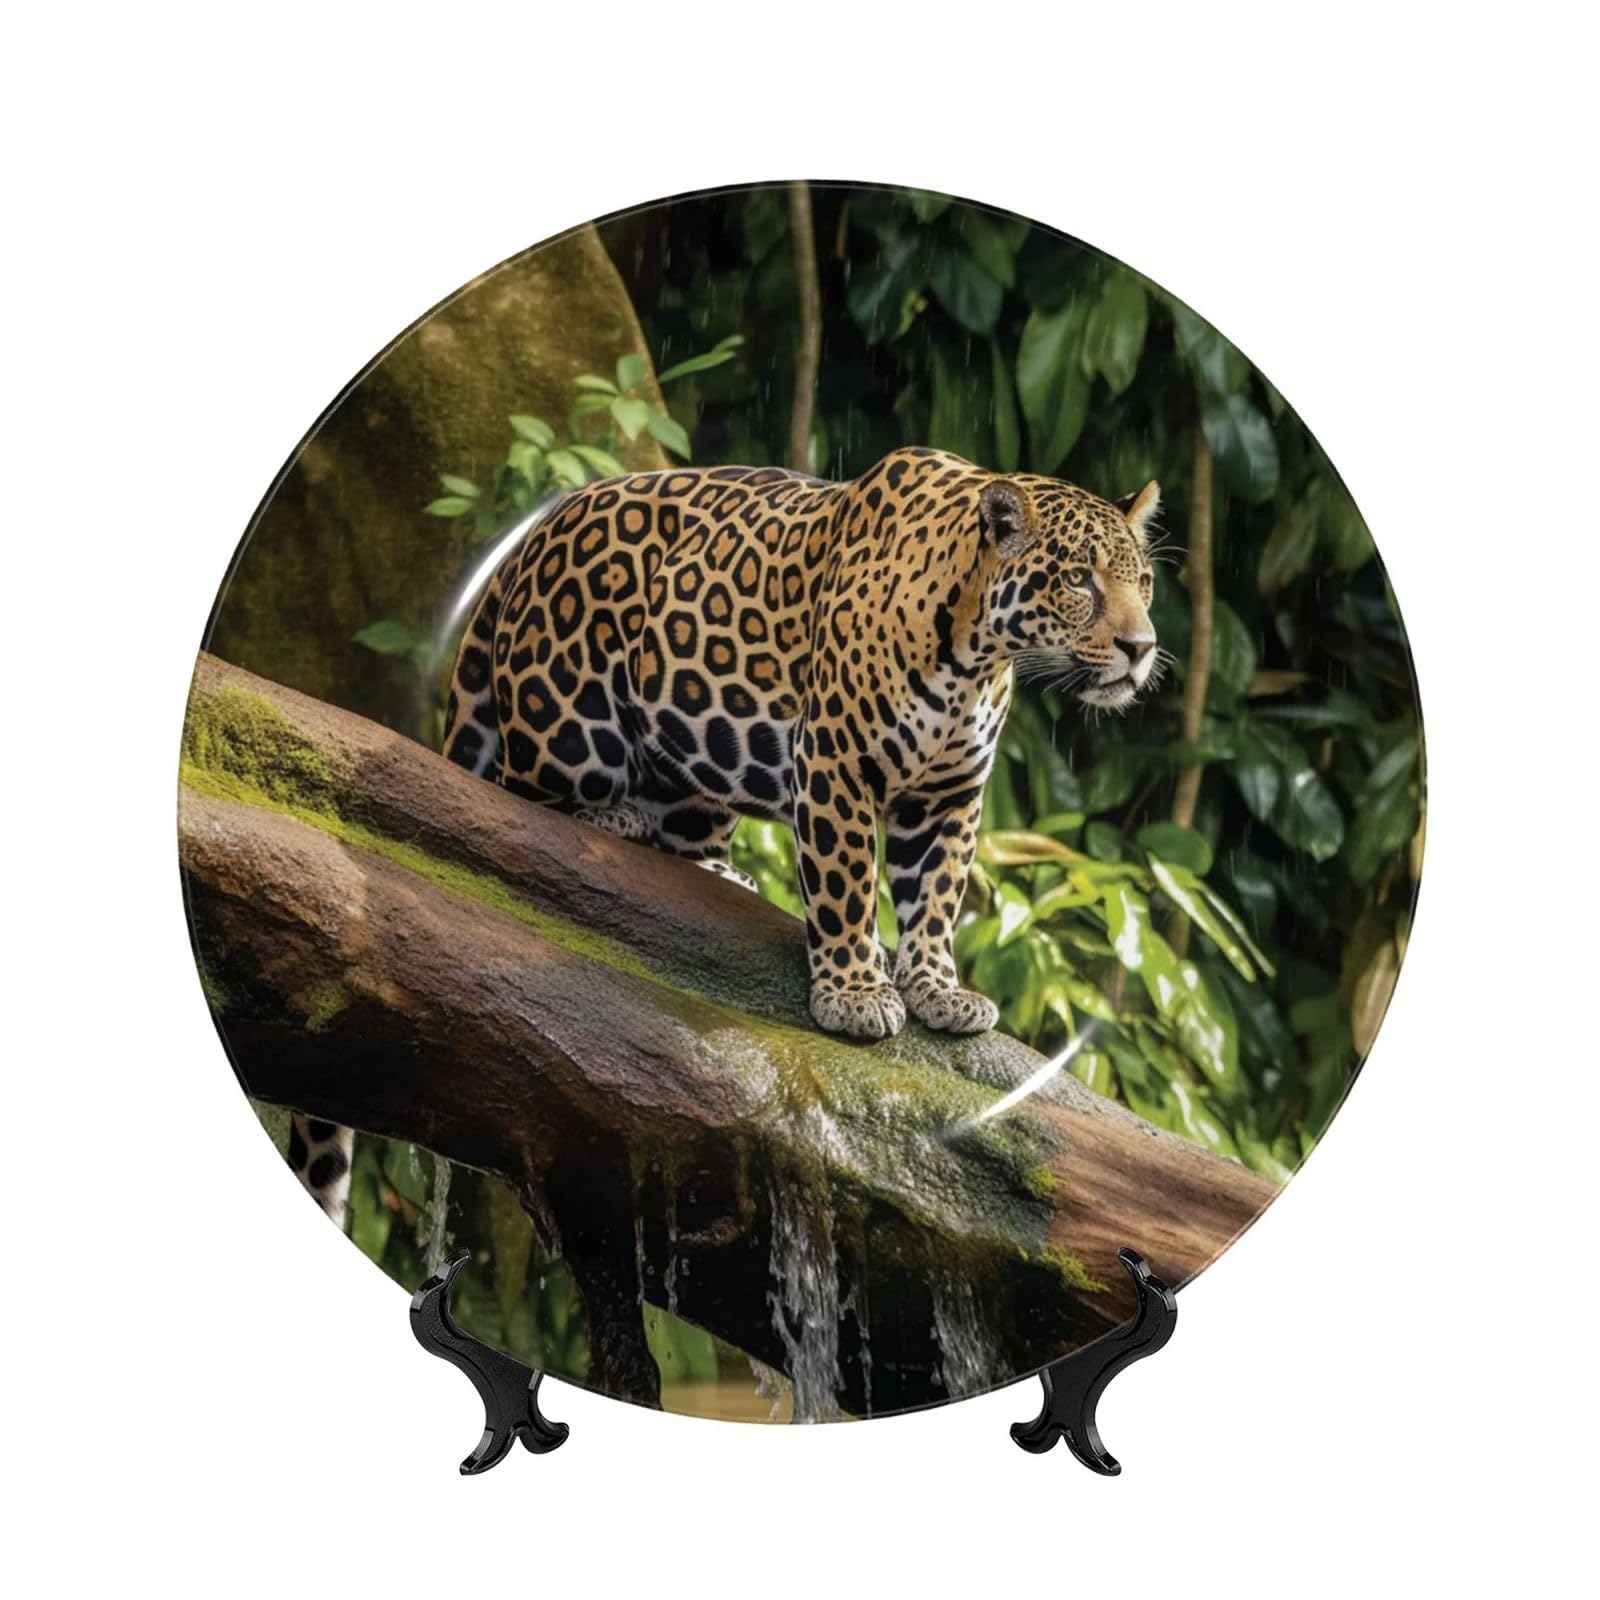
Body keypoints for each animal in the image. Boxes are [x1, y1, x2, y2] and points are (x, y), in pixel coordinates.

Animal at [441, 446, 1160, 1043]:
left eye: (1144, 583)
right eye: (1079, 580)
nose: (1142, 647)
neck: (974, 659)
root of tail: (537, 531)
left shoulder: (947, 795)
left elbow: (936, 896)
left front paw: (937, 989)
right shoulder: (836, 761)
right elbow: (847, 883)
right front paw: (855, 994)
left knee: (684, 829)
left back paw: (722, 871)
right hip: (570, 730)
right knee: (511, 790)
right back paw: (611, 817)